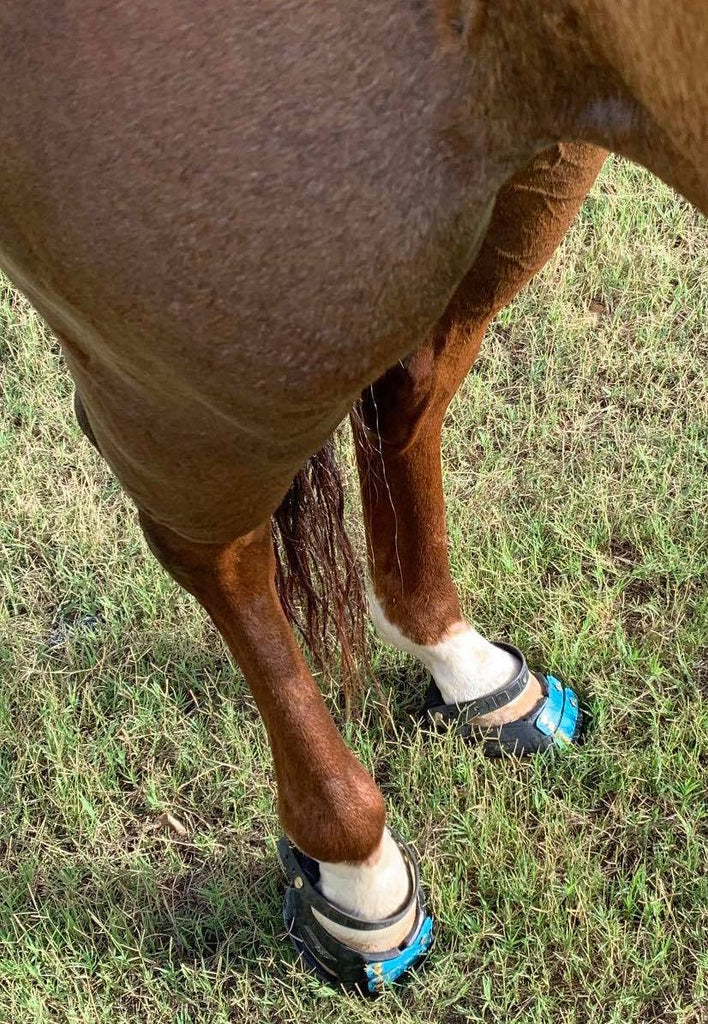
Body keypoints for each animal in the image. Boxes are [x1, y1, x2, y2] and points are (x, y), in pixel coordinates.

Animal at [0, 0, 704, 991]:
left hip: (513, 185)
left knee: (406, 389)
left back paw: (464, 664)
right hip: (250, 298)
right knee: (211, 544)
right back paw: (357, 877)